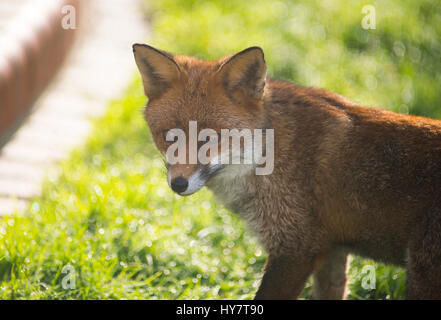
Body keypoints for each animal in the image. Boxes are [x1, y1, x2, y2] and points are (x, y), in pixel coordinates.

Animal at [132, 43, 440, 298]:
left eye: (209, 139)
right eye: (168, 137)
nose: (178, 184)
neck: (270, 154)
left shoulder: (296, 249)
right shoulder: (331, 250)